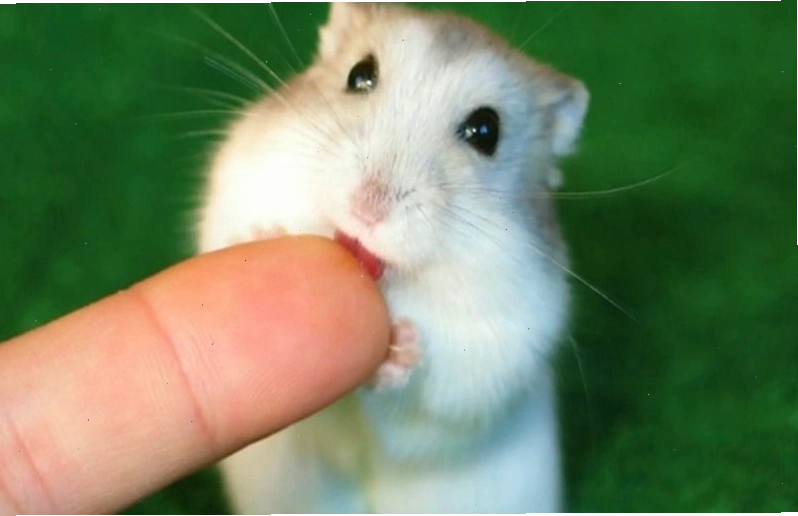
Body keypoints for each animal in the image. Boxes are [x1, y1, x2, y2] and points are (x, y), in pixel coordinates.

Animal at [196, 3, 589, 514]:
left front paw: (402, 346)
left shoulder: (494, 358)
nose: (368, 207)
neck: (391, 281)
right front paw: (264, 235)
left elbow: (422, 401)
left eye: (486, 131)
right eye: (360, 75)